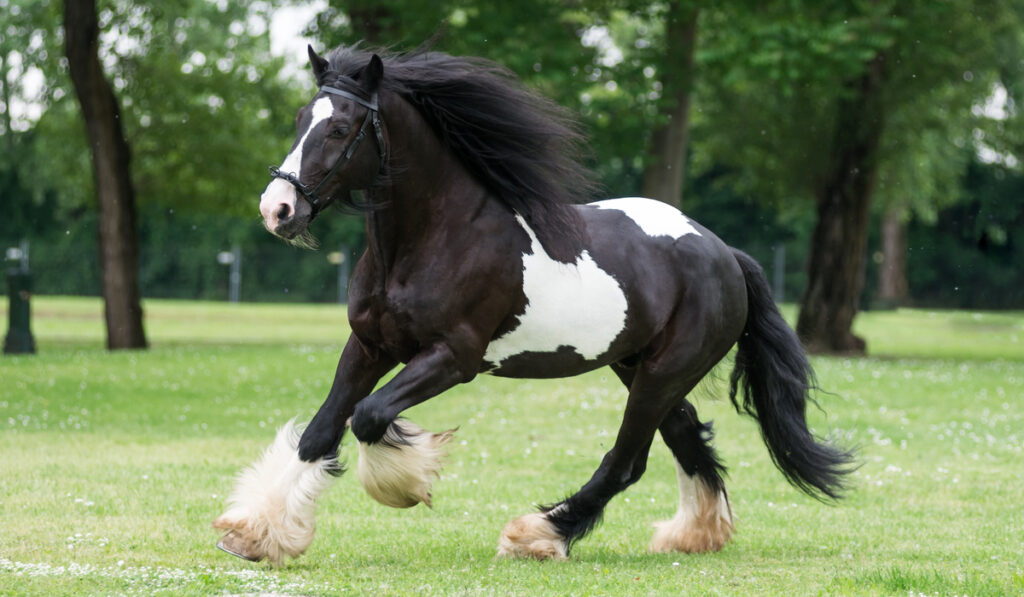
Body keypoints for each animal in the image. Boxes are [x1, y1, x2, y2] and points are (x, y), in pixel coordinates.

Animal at [209, 44, 856, 561]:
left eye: (341, 129)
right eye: (300, 120)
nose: (278, 209)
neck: (434, 237)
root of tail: (725, 253)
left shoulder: (453, 358)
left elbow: (368, 417)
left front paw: (408, 481)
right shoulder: (369, 345)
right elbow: (322, 432)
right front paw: (257, 534)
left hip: (665, 372)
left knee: (628, 461)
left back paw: (538, 534)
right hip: (640, 367)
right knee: (688, 437)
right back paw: (694, 535)